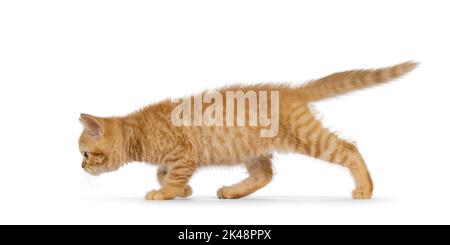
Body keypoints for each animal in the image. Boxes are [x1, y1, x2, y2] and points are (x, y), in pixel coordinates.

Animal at [79, 61, 416, 199]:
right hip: (251, 149)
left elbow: (170, 177)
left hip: (310, 138)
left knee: (349, 149)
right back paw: (233, 191)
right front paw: (182, 190)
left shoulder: (183, 154)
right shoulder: (177, 160)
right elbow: (165, 174)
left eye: (84, 154)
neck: (139, 130)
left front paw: (164, 194)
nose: (81, 168)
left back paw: (365, 188)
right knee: (264, 174)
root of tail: (292, 91)